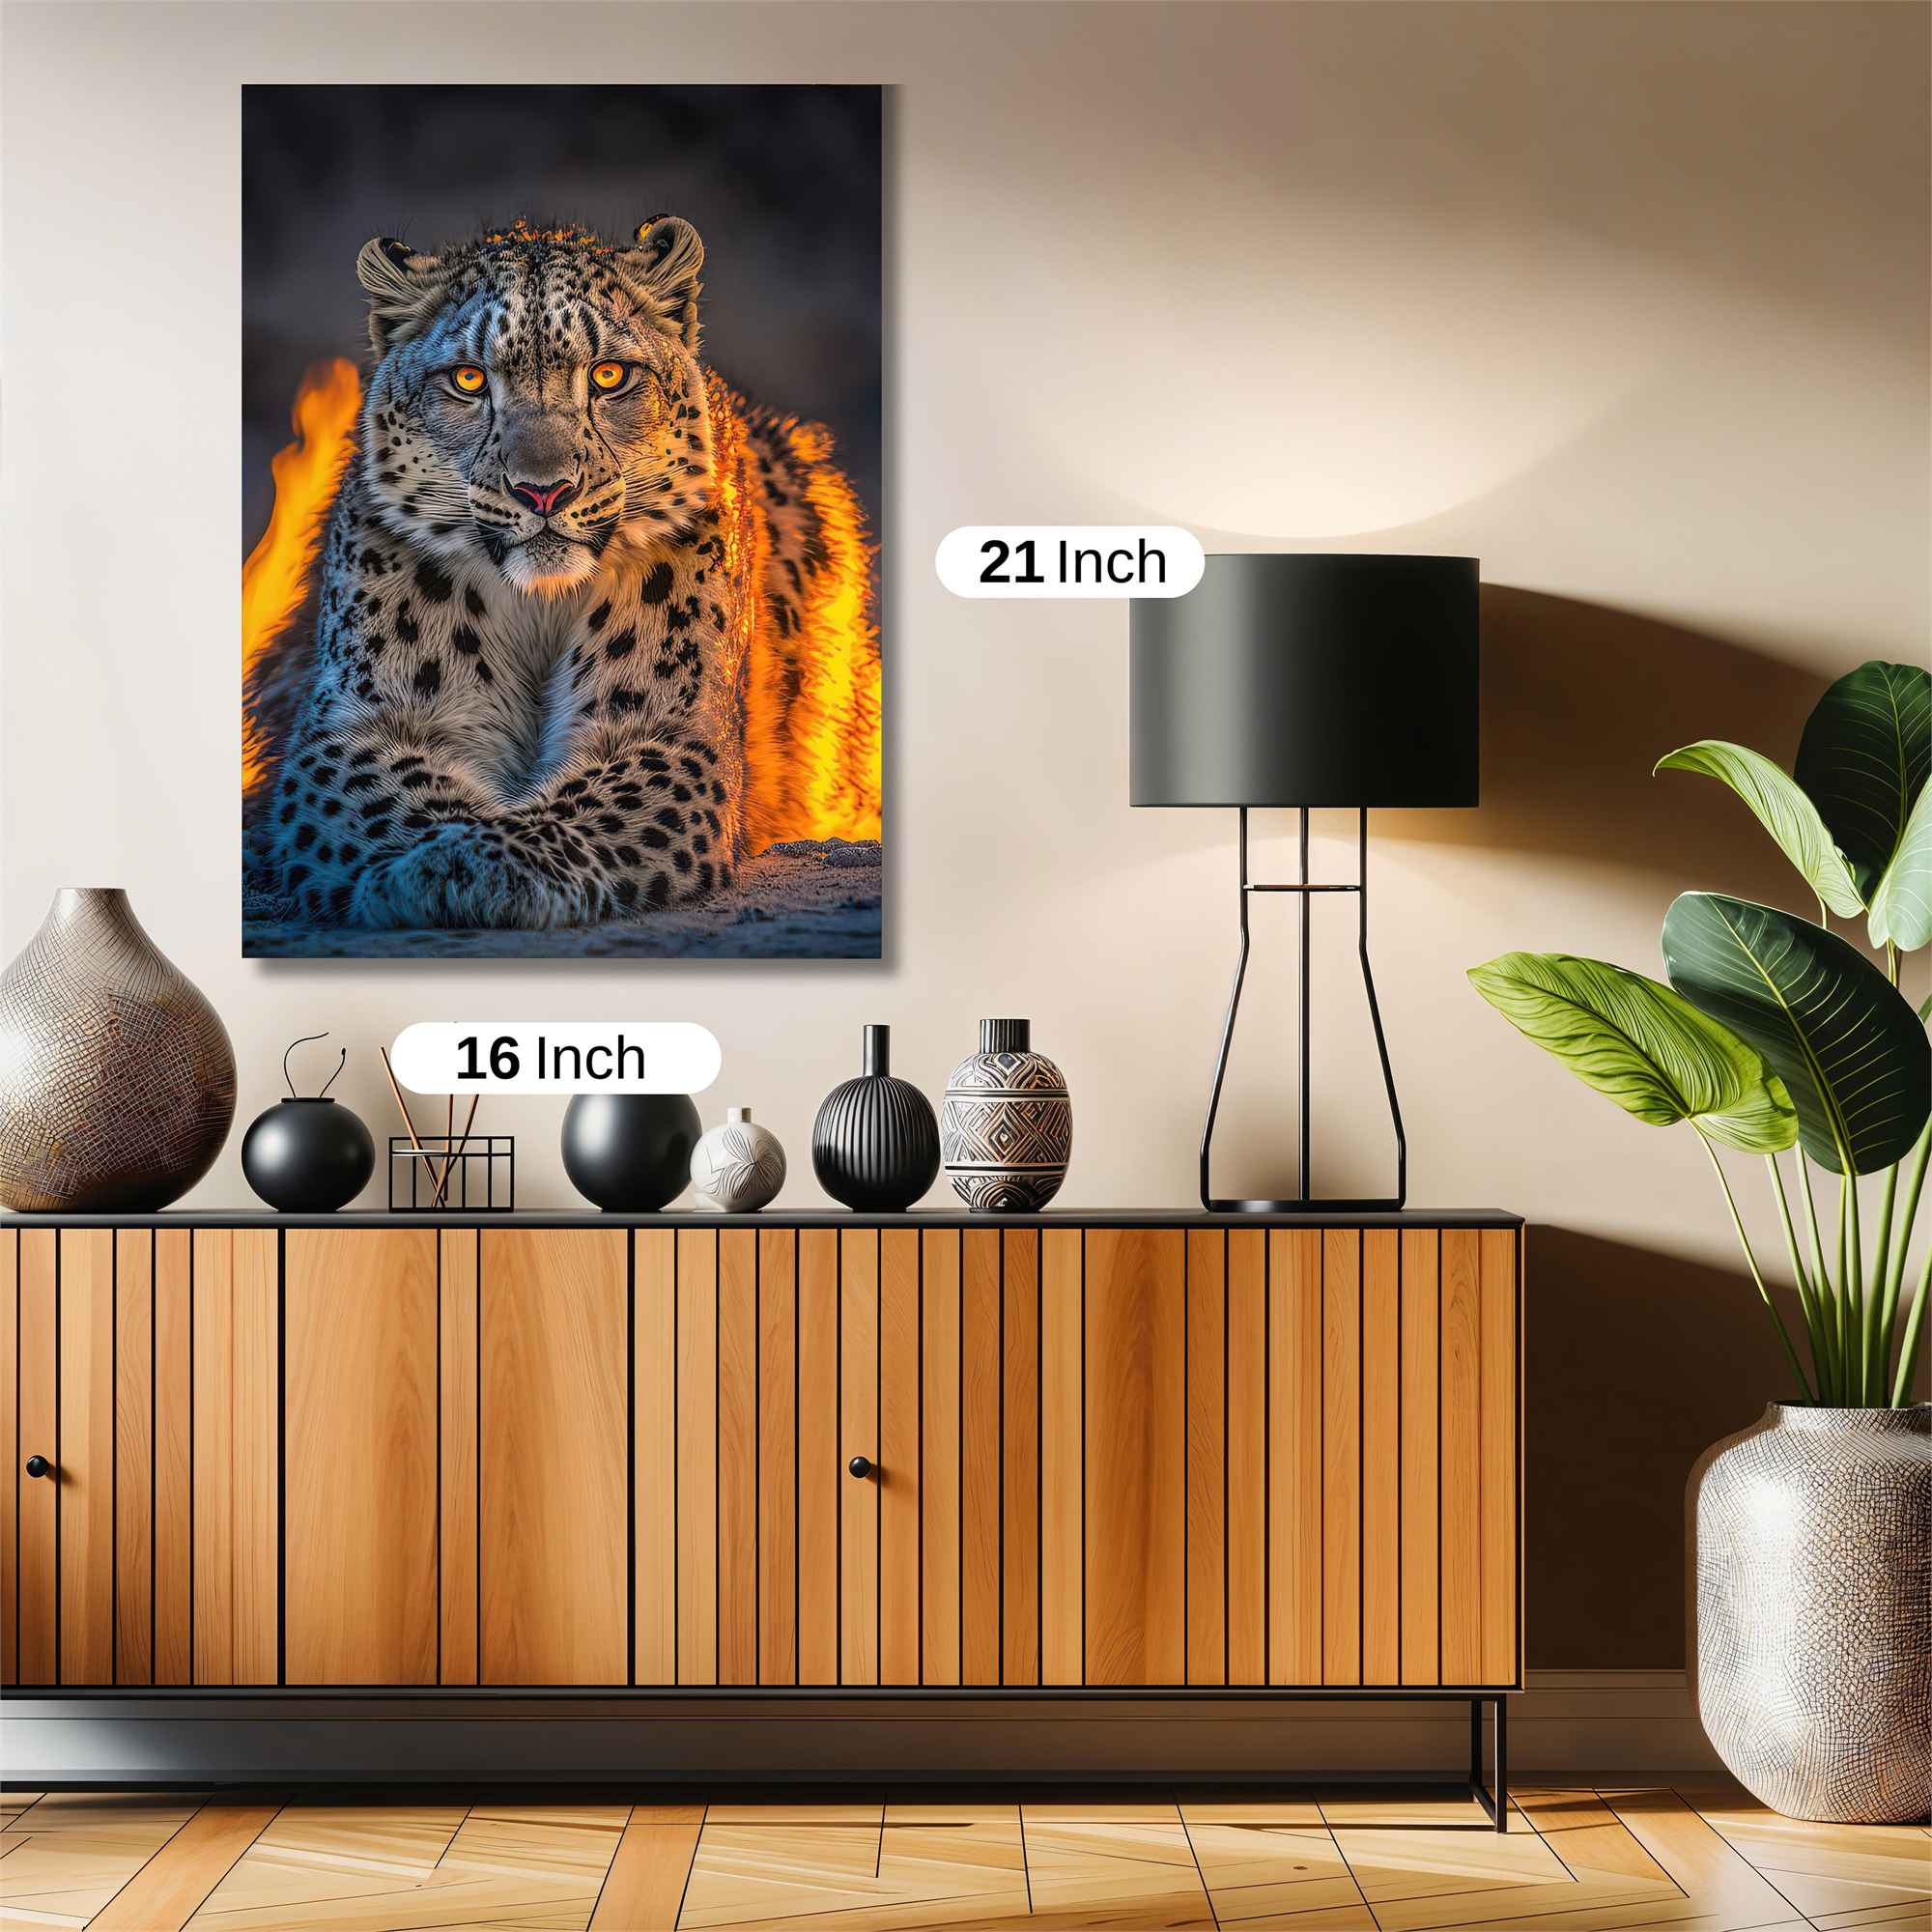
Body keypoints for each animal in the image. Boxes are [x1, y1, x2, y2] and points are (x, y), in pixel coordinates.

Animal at [244, 215, 877, 929]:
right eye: (469, 381)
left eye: (609, 376)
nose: (543, 492)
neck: (539, 606)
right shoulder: (359, 724)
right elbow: (395, 798)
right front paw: (442, 863)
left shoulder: (667, 728)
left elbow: (591, 806)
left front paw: (487, 864)